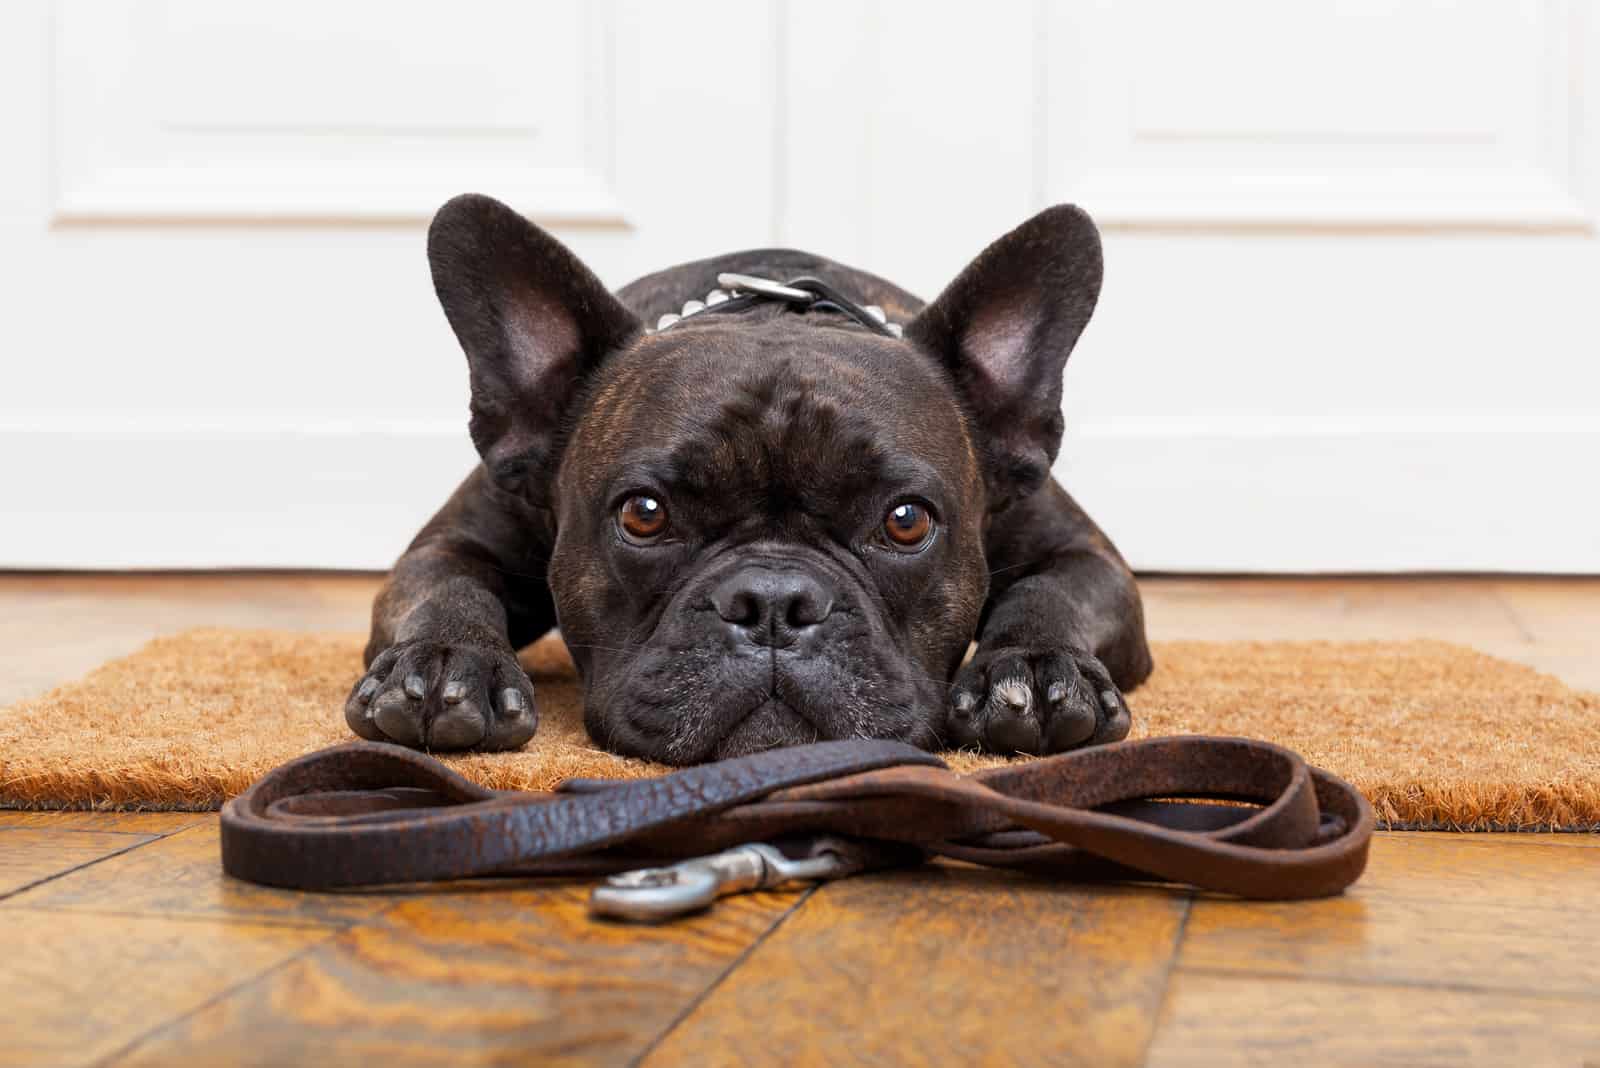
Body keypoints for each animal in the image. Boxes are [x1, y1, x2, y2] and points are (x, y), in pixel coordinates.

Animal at [350, 191, 1152, 757]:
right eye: (643, 514)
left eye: (906, 521)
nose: (773, 602)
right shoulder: (451, 545)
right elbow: (448, 587)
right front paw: (448, 663)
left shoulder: (1086, 556)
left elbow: (1051, 592)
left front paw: (1039, 671)